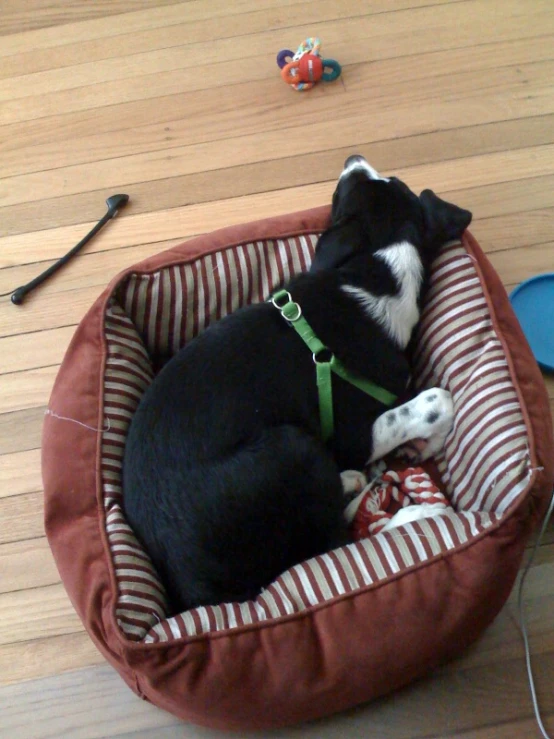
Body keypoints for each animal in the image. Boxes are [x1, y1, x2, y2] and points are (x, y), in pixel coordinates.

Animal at [122, 159, 470, 616]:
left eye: (390, 180)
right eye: (348, 191)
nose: (352, 158)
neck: (381, 270)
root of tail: (201, 594)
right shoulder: (352, 437)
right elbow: (435, 400)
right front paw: (426, 444)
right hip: (293, 445)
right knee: (333, 542)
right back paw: (413, 516)